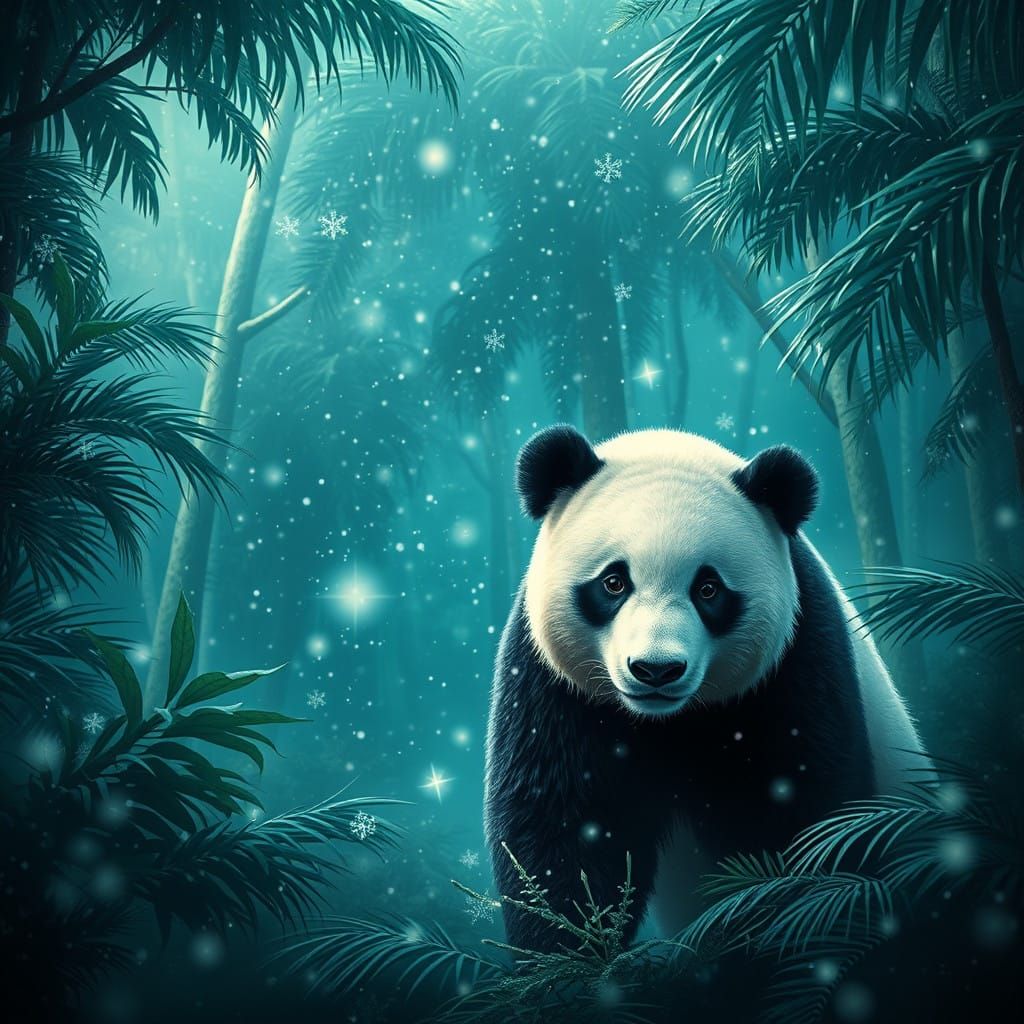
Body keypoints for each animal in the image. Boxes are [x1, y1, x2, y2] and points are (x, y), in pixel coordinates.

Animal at [484, 425, 926, 950]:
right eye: (614, 582)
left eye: (708, 589)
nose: (655, 670)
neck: (668, 721)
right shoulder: (554, 686)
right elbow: (563, 822)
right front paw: (575, 948)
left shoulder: (796, 664)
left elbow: (804, 808)